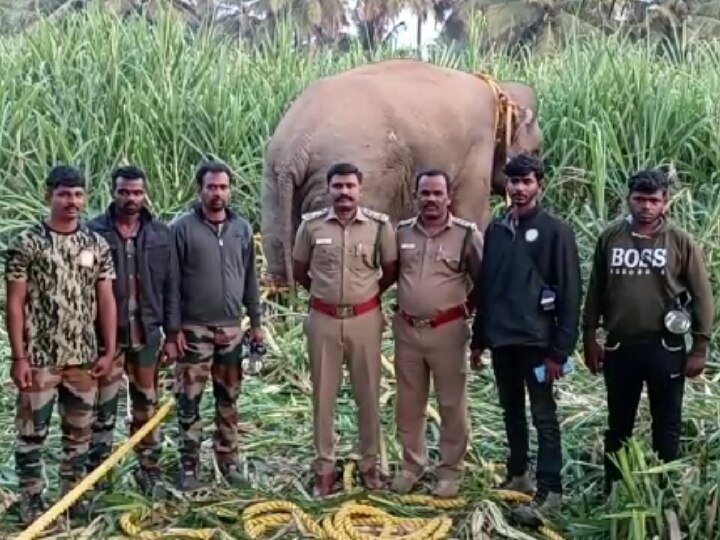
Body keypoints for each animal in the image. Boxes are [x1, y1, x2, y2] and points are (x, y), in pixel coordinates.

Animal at [258, 58, 540, 292]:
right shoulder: (477, 150)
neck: (499, 92)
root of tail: (293, 148)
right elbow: (472, 215)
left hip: (273, 180)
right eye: (536, 152)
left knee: (278, 248)